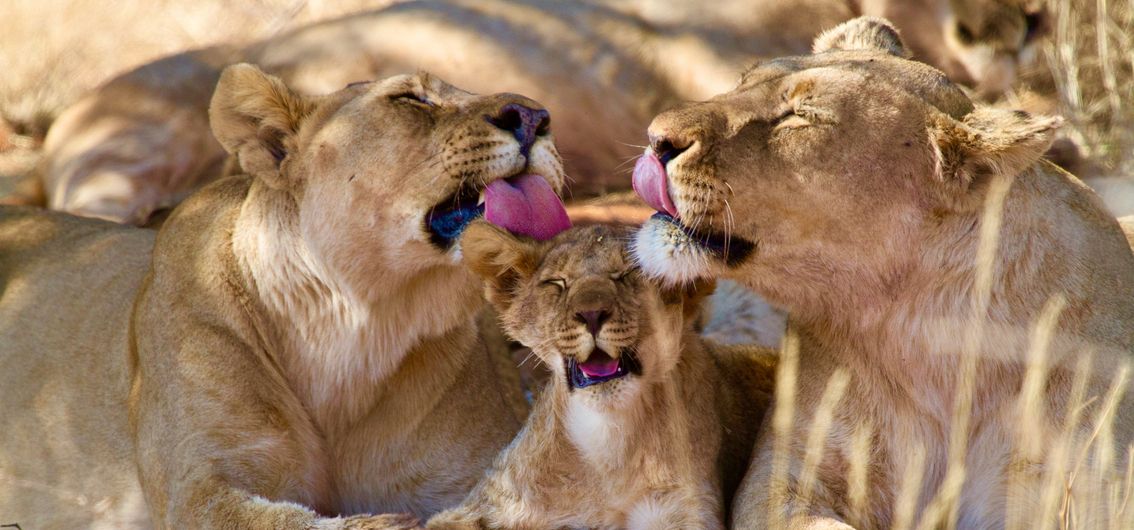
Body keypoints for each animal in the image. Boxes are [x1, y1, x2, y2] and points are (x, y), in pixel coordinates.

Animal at [421, 222, 775, 528]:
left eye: (628, 275)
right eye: (557, 283)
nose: (591, 314)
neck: (609, 440)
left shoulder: (683, 511)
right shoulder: (488, 503)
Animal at [630, 17, 1134, 530]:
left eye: (801, 116)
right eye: (743, 82)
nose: (655, 139)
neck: (922, 334)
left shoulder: (1084, 494)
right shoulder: (782, 476)